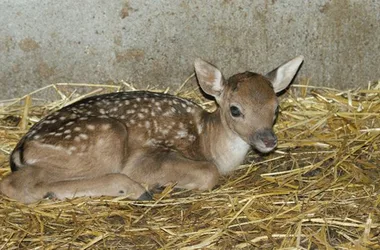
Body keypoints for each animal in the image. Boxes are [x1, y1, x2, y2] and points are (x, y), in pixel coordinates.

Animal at [0, 55, 302, 203]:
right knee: (13, 184)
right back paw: (134, 189)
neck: (207, 140)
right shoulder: (148, 155)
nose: (268, 140)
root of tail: (21, 149)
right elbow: (208, 172)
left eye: (276, 108)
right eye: (235, 109)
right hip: (102, 138)